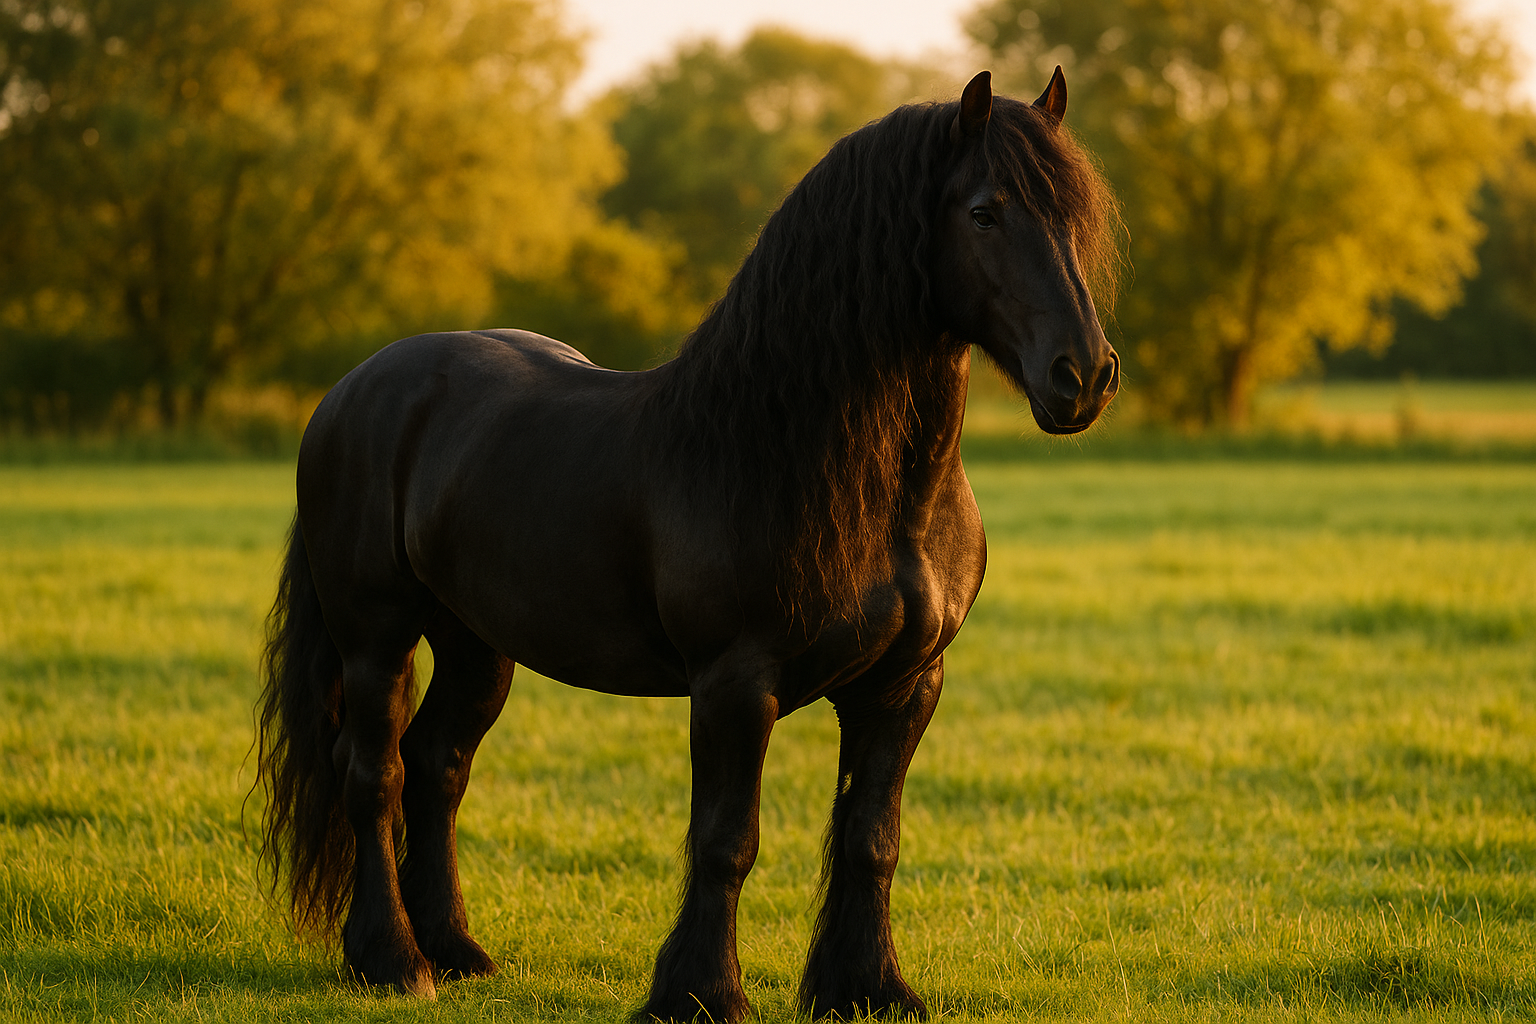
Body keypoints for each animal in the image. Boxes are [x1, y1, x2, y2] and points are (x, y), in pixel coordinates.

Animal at [256, 68, 1120, 1022]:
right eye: (983, 212)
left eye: (1077, 215)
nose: (1083, 376)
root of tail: (352, 391)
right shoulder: (735, 684)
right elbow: (726, 839)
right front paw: (700, 993)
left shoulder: (904, 684)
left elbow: (872, 837)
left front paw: (868, 988)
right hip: (375, 635)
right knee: (371, 774)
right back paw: (392, 960)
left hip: (478, 645)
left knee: (435, 768)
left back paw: (457, 952)